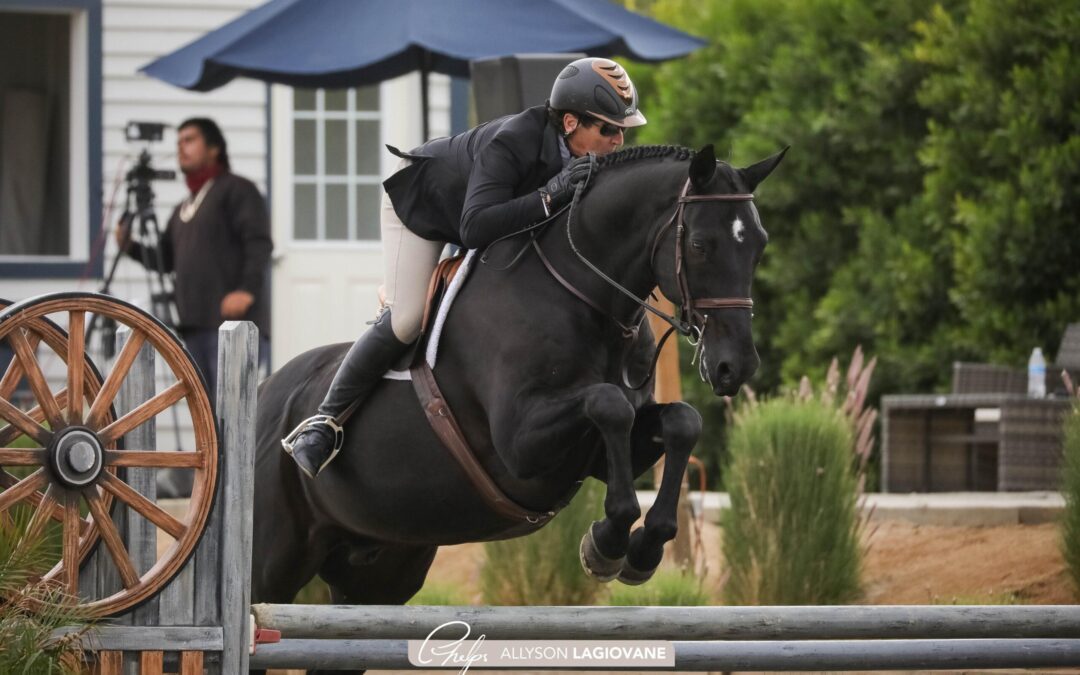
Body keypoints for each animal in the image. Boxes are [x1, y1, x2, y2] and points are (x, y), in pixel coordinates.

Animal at [250, 143, 785, 674]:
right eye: (700, 244)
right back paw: (313, 441)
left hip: (379, 572)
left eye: (758, 244)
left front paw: (644, 548)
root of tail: (263, 394)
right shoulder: (521, 447)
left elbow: (680, 421)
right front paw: (607, 542)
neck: (583, 297)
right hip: (274, 562)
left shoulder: (599, 452)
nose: (735, 366)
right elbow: (609, 403)